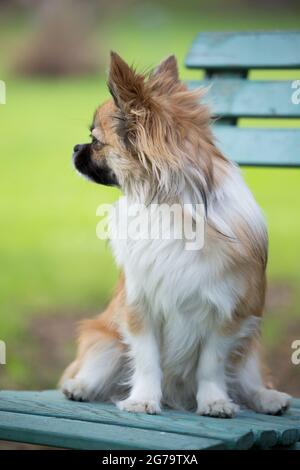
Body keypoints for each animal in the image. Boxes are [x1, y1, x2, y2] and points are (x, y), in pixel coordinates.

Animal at [60, 52, 290, 418]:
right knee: (98, 367)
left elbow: (212, 365)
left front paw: (214, 402)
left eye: (95, 141)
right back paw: (80, 387)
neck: (171, 207)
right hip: (106, 340)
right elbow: (147, 360)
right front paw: (142, 399)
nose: (74, 147)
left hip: (250, 345)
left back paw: (267, 398)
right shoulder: (139, 308)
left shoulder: (228, 314)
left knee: (247, 381)